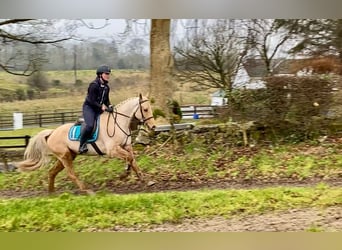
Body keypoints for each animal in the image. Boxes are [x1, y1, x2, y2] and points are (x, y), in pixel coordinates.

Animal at [18, 94, 156, 193]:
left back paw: (51, 193)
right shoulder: (112, 150)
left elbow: (132, 159)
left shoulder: (126, 146)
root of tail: (51, 133)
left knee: (52, 172)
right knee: (71, 174)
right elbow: (129, 158)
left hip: (68, 155)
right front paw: (125, 175)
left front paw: (143, 178)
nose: (153, 126)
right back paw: (86, 190)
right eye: (145, 109)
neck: (118, 123)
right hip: (65, 156)